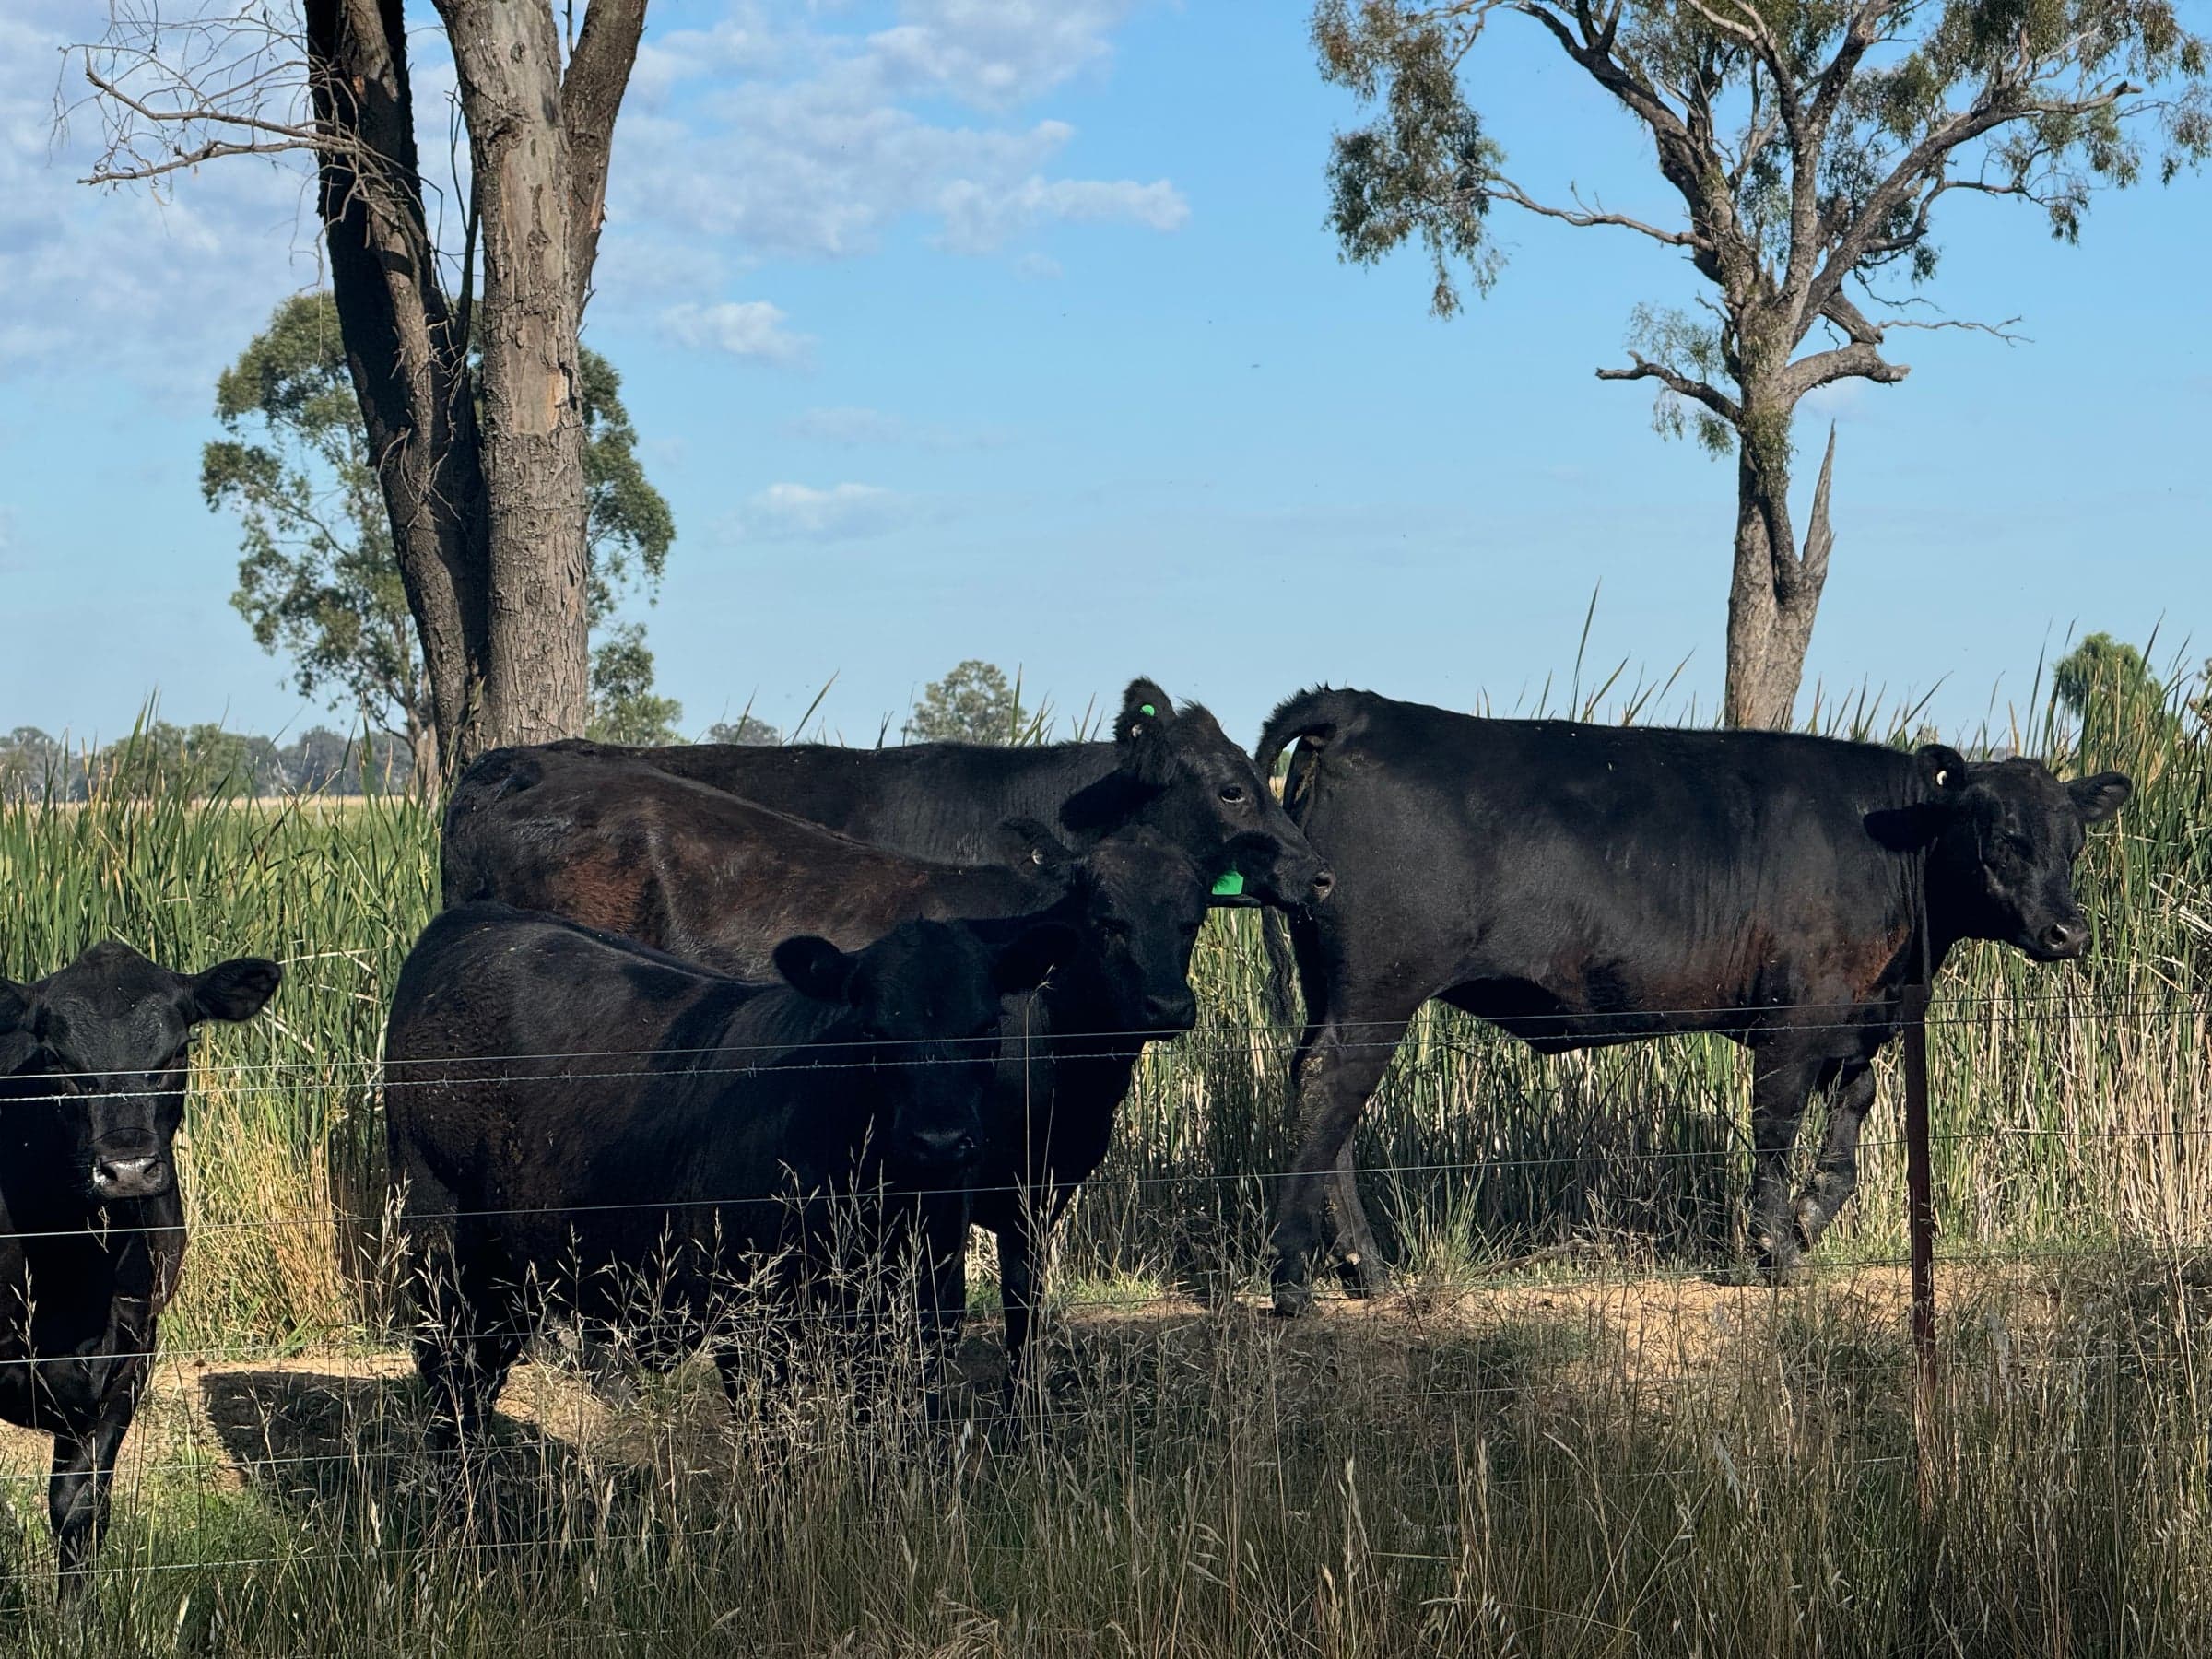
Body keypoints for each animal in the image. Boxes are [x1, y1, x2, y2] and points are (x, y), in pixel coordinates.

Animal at [383, 904, 1073, 1449]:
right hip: (441, 1237)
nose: (939, 1139)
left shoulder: (923, 1320)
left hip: (514, 1263)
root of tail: (475, 918)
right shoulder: (755, 1327)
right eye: (873, 1031)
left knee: (480, 1377)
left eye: (987, 1027)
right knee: (450, 1381)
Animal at [439, 747, 1242, 1395]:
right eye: (1105, 920)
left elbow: (1023, 1312)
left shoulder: (1036, 1193)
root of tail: (514, 766)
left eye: (1192, 919)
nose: (1168, 1005)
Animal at [1254, 688, 2131, 1313]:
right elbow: (1774, 1128)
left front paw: (1810, 1217)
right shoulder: (1795, 1020)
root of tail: (1360, 705)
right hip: (1380, 986)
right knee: (1331, 1089)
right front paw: (1773, 1250)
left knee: (1323, 1096)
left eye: (2074, 841)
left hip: (1333, 987)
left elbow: (1851, 1119)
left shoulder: (1858, 1017)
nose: (2068, 932)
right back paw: (1299, 1279)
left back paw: (1362, 1271)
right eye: (2003, 838)